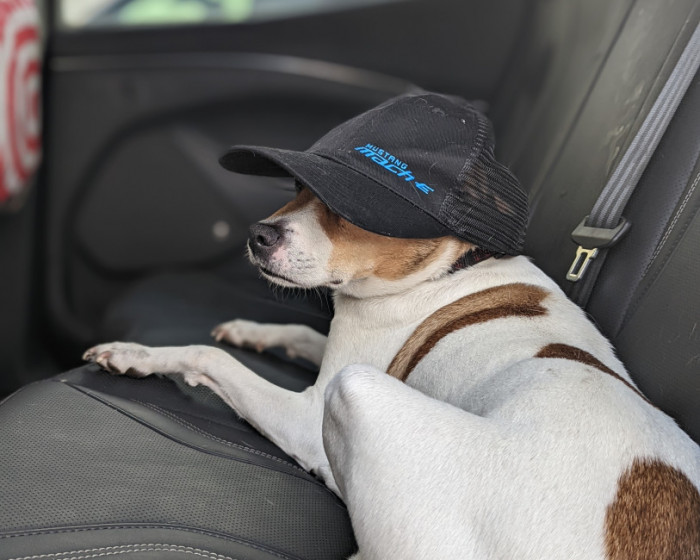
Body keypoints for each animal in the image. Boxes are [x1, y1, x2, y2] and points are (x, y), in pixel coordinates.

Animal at [84, 92, 700, 559]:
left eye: (345, 211)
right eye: (296, 189)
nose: (258, 234)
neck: (448, 267)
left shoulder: (315, 409)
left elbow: (208, 357)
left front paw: (140, 354)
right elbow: (302, 334)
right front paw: (252, 330)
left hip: (358, 394)